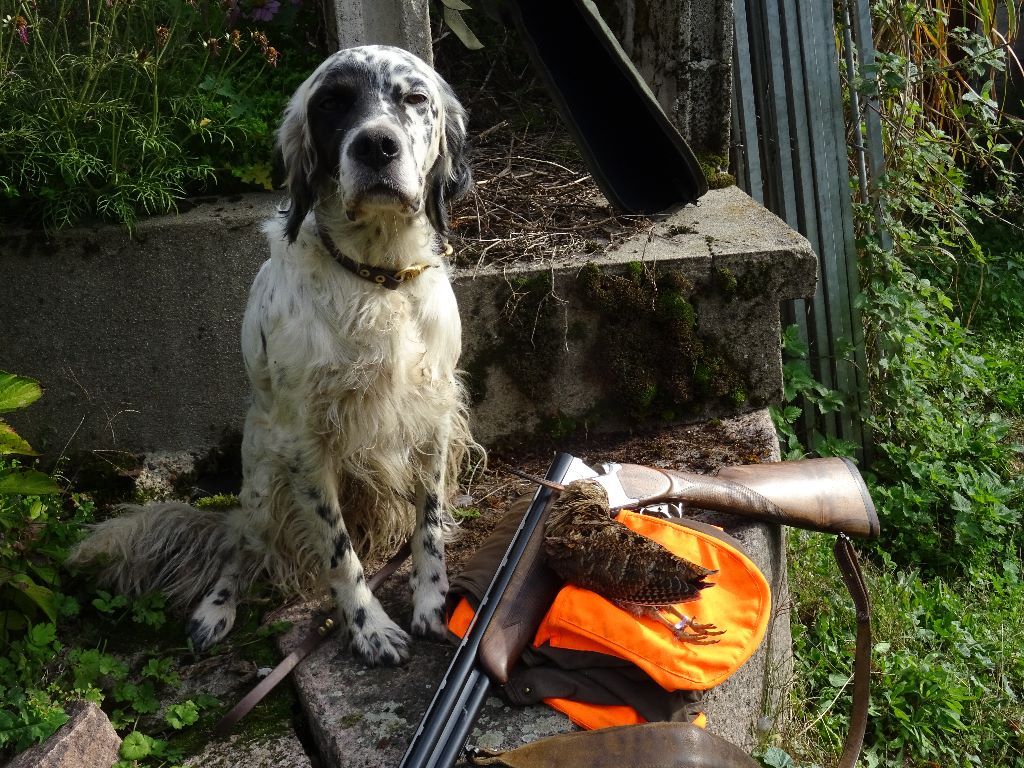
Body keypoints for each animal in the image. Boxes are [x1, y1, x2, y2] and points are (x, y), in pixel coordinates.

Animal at [72, 45, 479, 667]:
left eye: (415, 99)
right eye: (333, 102)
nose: (376, 145)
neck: (375, 276)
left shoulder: (433, 416)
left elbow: (427, 526)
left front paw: (432, 603)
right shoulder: (304, 442)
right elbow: (339, 553)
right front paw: (370, 628)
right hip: (263, 483)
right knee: (238, 550)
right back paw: (214, 612)